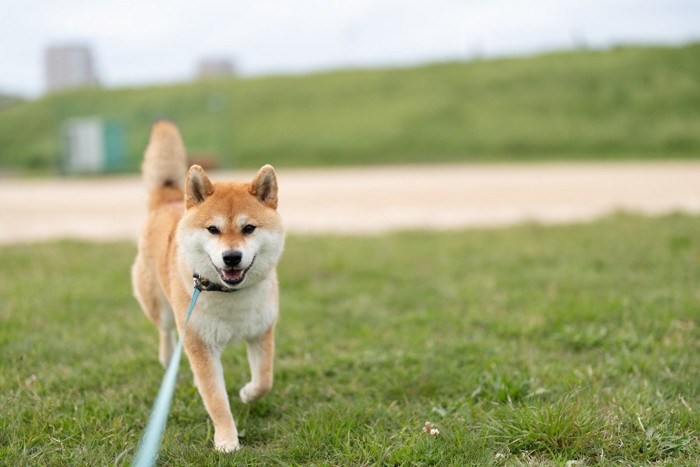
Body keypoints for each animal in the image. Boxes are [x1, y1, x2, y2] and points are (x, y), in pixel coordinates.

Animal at [131, 120, 284, 454]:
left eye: (249, 228)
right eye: (213, 229)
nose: (232, 257)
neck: (229, 295)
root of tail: (169, 198)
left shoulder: (261, 332)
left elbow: (265, 379)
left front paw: (248, 393)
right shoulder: (201, 344)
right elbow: (216, 400)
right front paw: (226, 439)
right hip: (161, 306)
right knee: (165, 331)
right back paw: (168, 359)